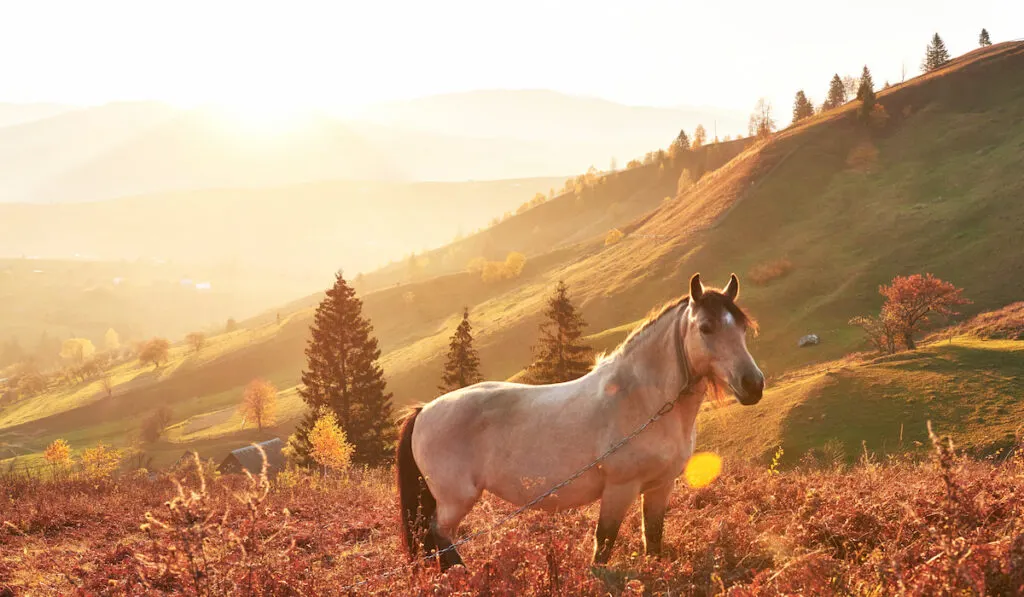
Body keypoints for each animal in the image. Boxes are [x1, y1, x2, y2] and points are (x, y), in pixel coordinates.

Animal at [395, 272, 765, 569]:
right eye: (705, 328)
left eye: (743, 327)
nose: (753, 384)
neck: (642, 401)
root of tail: (425, 410)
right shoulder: (619, 490)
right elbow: (604, 546)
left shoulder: (660, 487)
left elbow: (654, 539)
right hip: (455, 501)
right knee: (439, 538)